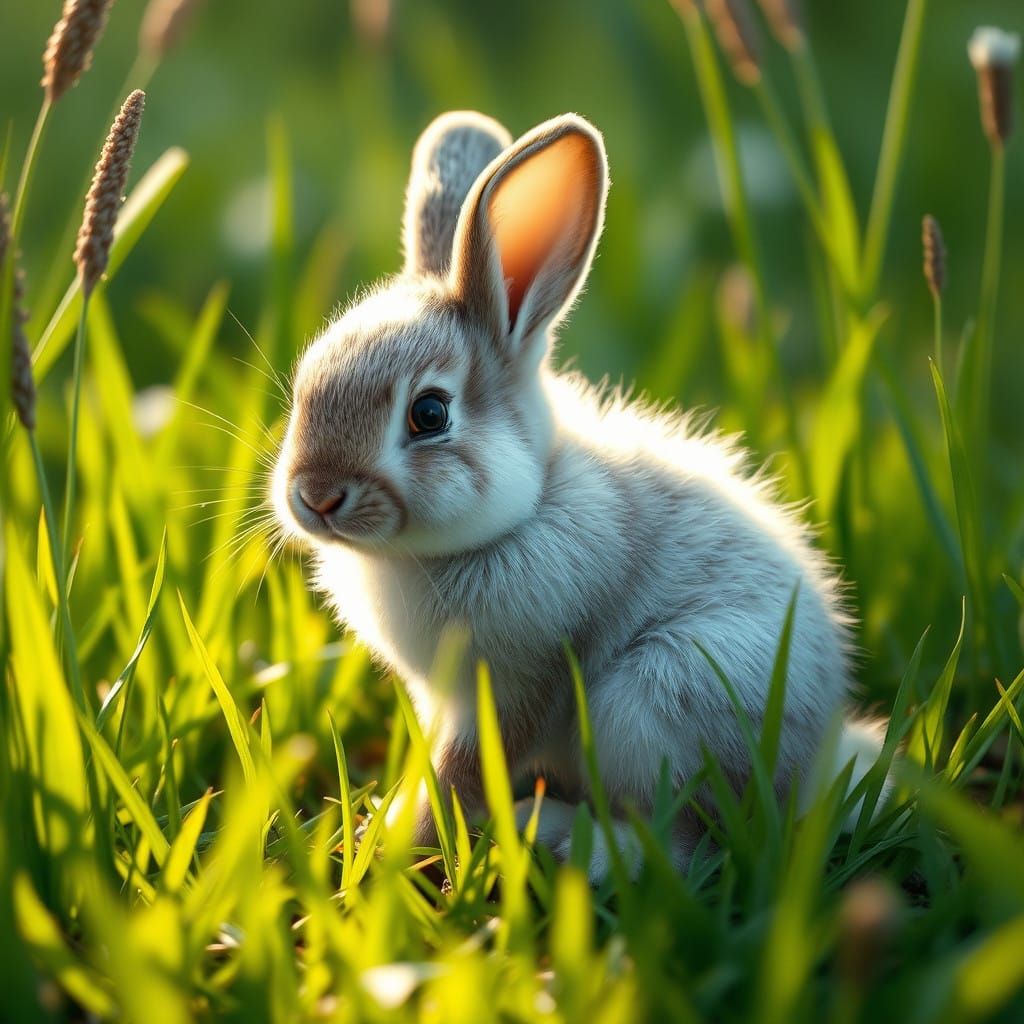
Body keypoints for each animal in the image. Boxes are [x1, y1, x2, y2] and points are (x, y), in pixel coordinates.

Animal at [272, 110, 888, 881]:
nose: (316, 495)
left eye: (429, 414)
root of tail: (816, 764)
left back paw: (567, 839)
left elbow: (464, 772)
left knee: (687, 843)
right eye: (304, 385)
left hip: (655, 702)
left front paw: (394, 845)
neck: (517, 515)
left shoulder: (515, 682)